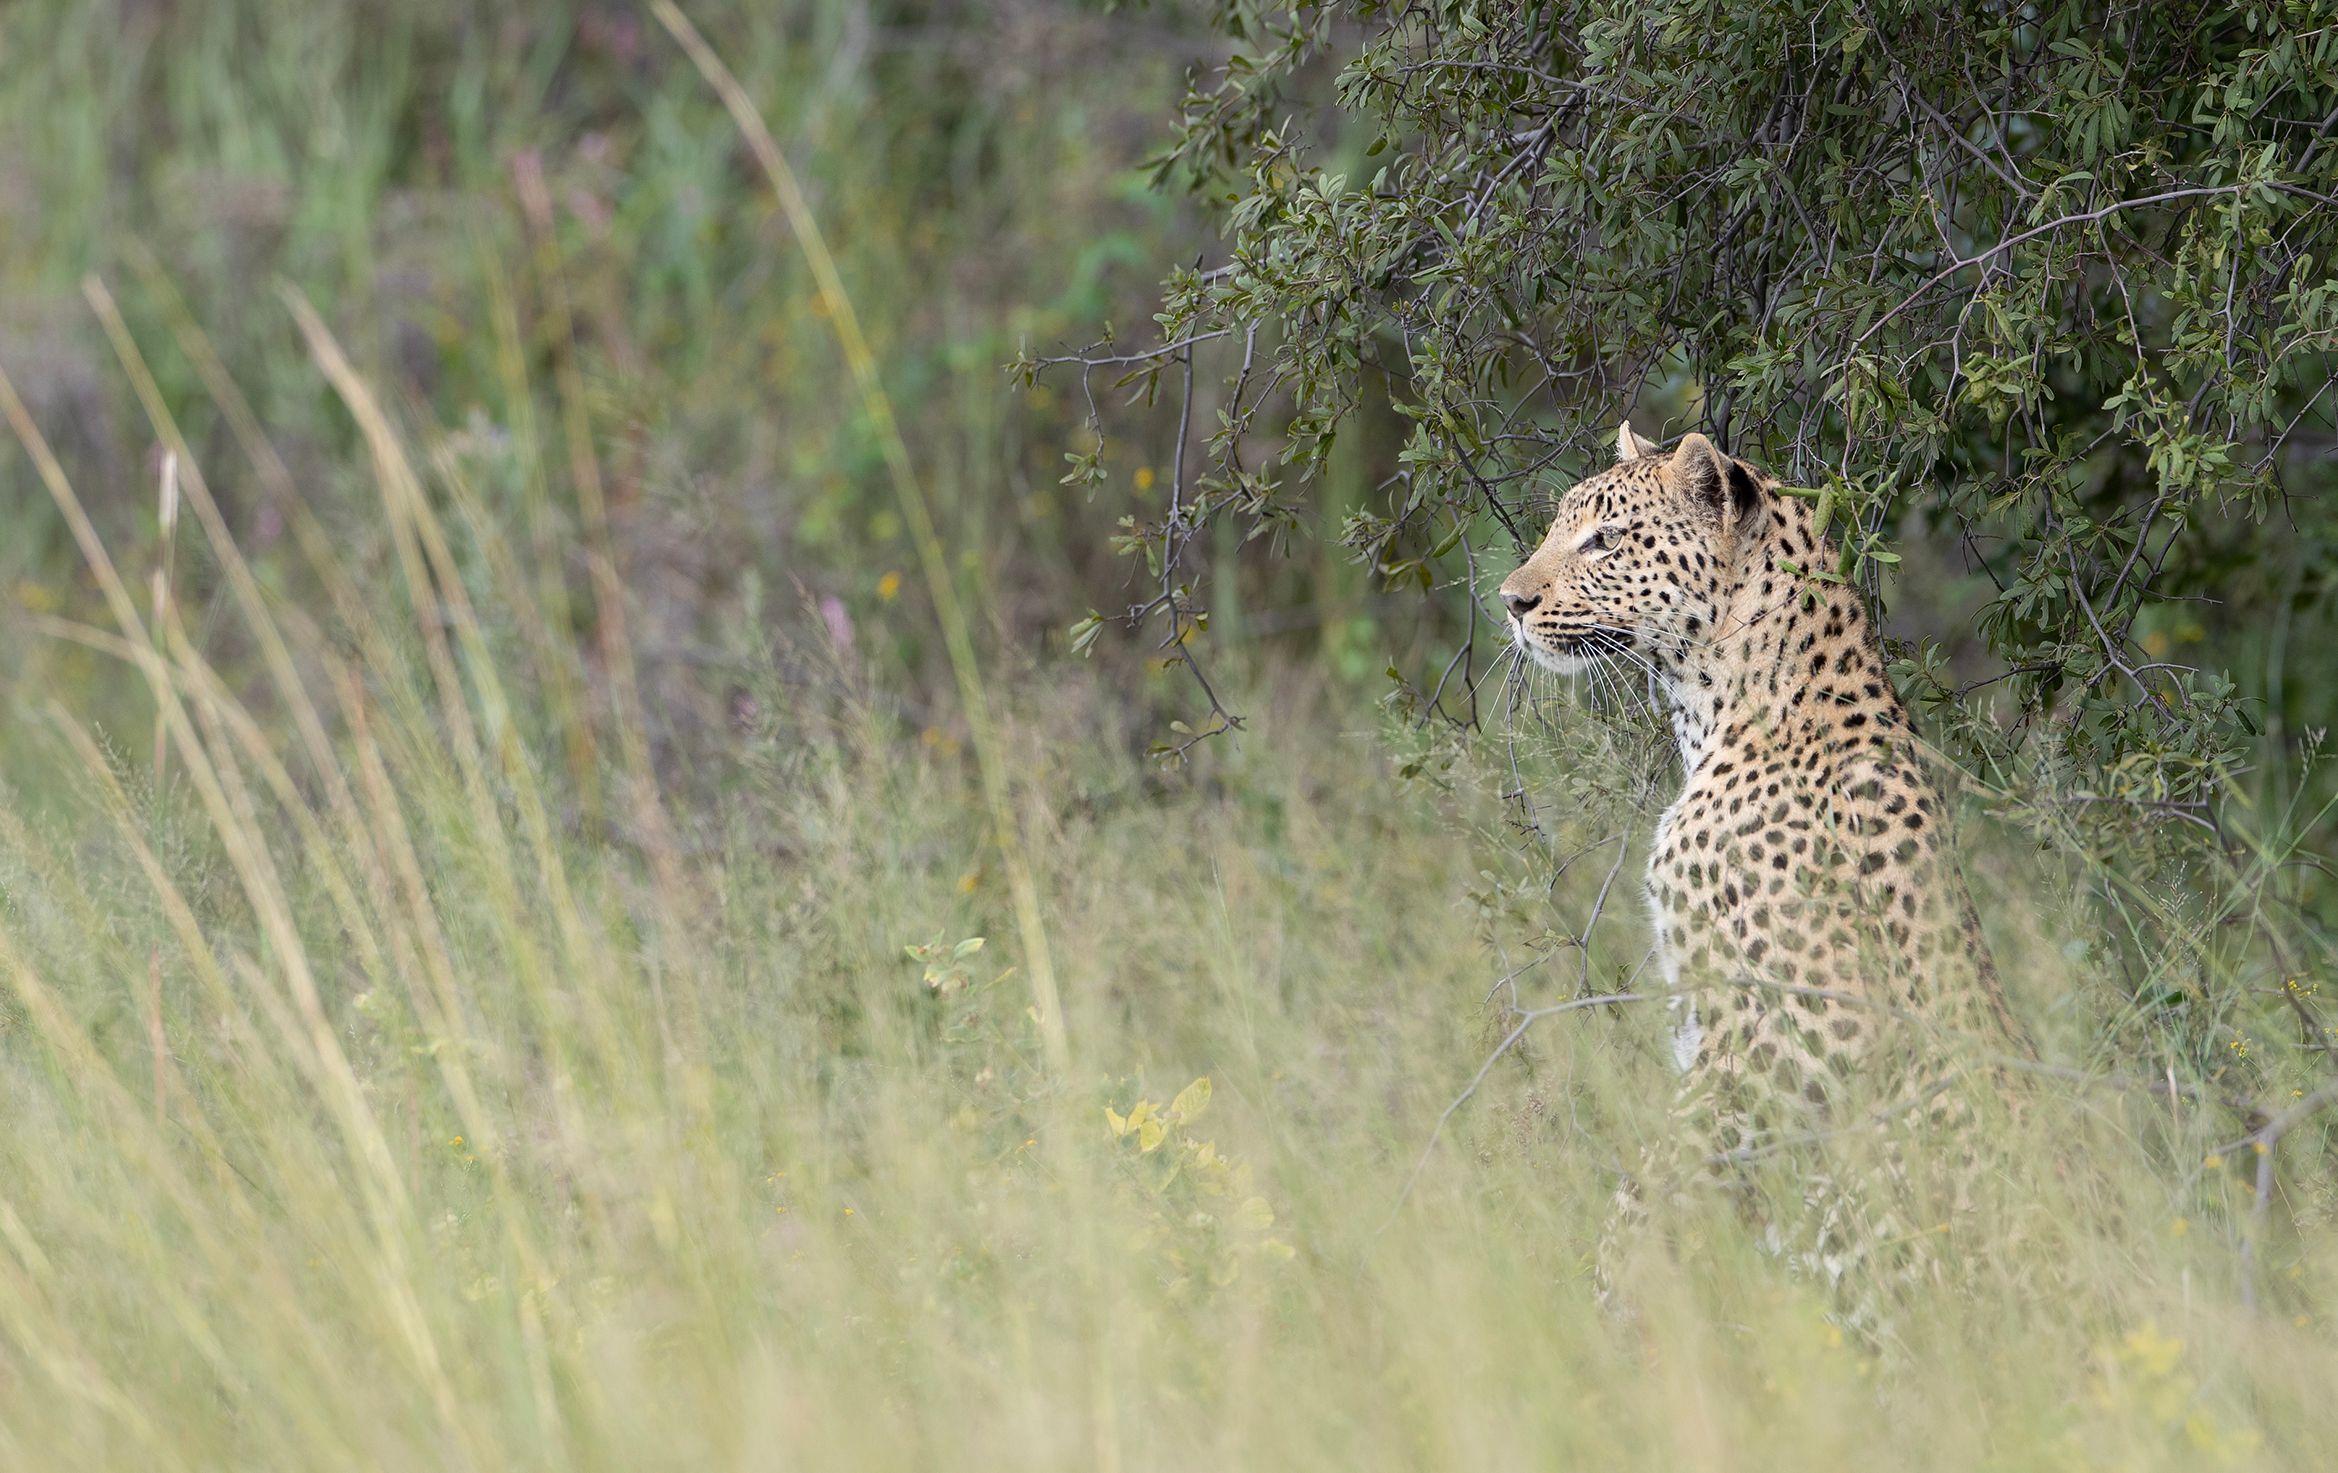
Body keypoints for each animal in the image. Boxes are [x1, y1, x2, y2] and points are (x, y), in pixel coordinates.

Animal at [1496, 420, 2031, 1337]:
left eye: (1603, 539)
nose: (1510, 600)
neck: (1712, 709)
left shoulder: (1779, 1030)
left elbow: (1654, 1176)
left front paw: (1610, 1292)